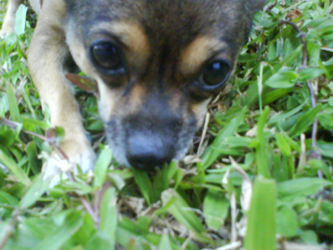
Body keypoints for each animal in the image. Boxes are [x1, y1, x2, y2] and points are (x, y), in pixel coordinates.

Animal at [0, 0, 264, 174]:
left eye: (215, 71)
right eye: (105, 53)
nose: (149, 156)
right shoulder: (46, 37)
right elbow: (59, 92)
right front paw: (68, 151)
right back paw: (9, 29)